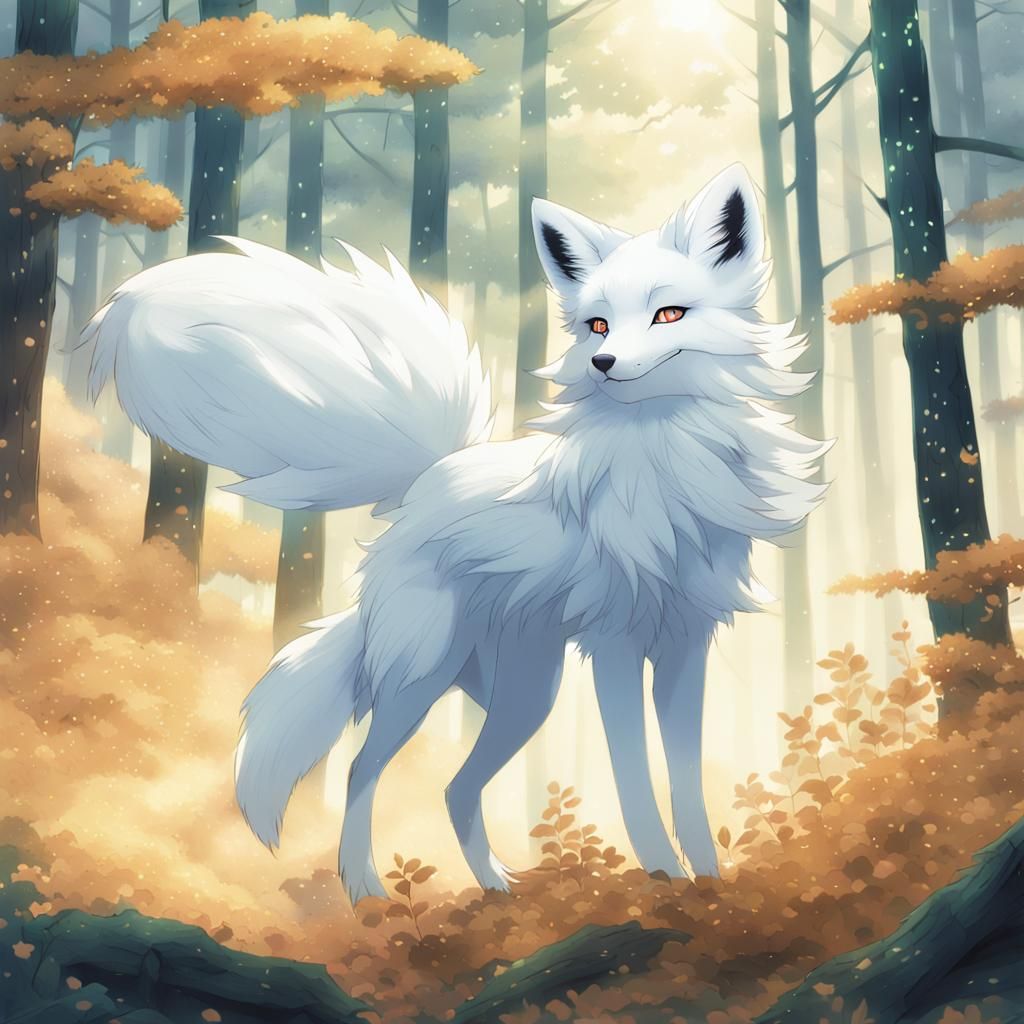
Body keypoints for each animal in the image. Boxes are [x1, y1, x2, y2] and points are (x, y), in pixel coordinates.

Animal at [80, 163, 827, 903]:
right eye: (598, 324)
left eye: (669, 313)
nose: (604, 363)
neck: (663, 464)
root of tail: (427, 481)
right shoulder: (615, 647)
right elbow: (635, 778)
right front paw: (665, 878)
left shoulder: (683, 645)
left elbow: (686, 779)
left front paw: (709, 884)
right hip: (427, 678)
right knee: (361, 770)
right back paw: (368, 893)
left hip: (527, 694)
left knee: (455, 789)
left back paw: (497, 890)